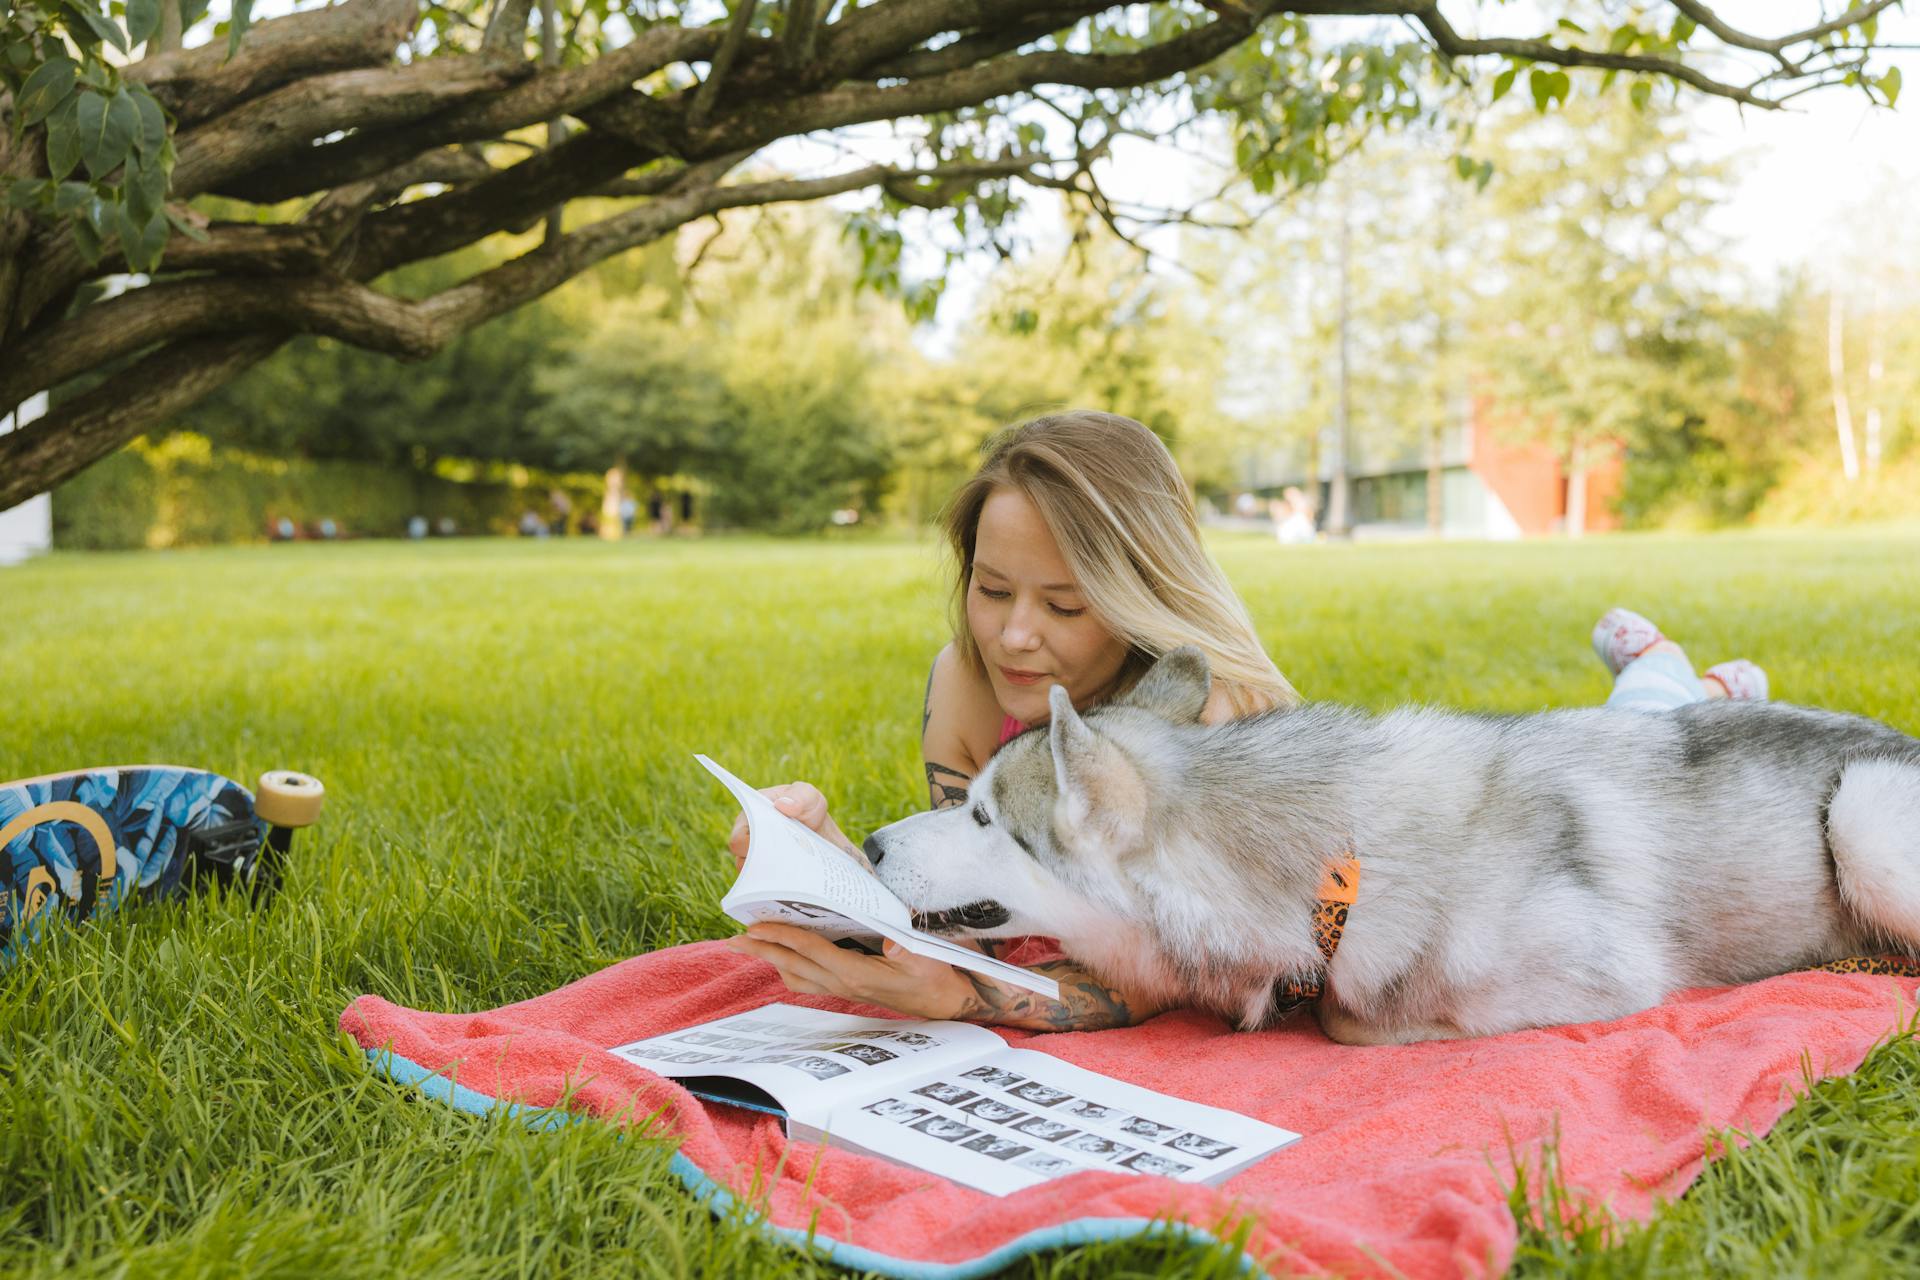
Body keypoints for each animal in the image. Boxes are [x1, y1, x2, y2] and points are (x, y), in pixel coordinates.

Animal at [871, 644, 1920, 1043]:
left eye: (983, 819)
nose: (874, 842)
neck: (1337, 869)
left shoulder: (1611, 979)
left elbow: (1356, 1018)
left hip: (1863, 816)